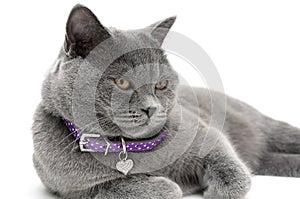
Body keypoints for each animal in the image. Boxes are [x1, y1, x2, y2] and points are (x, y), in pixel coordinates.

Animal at [32, 3, 300, 198]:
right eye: (122, 82)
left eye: (161, 85)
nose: (150, 108)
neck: (130, 148)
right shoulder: (71, 187)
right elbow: (114, 187)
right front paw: (170, 186)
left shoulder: (206, 134)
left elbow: (230, 165)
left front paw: (215, 191)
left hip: (267, 127)